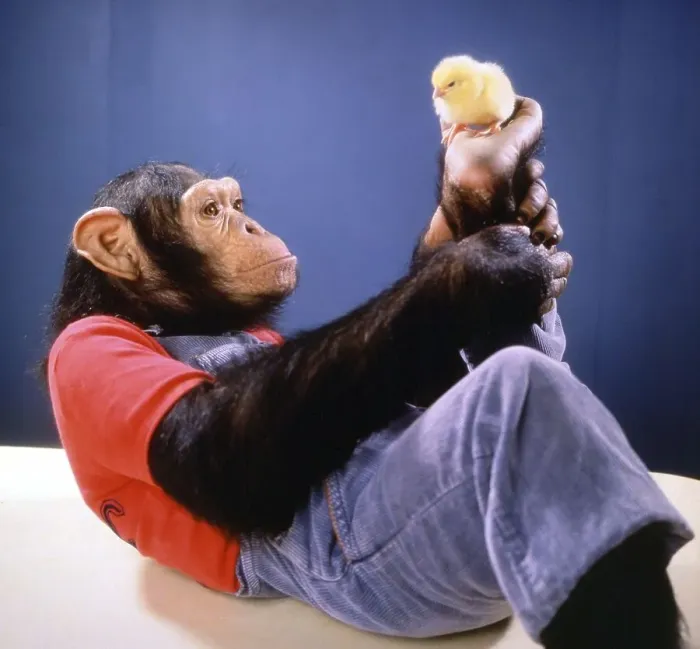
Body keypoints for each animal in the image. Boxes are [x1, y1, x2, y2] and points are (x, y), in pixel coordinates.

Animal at [43, 98, 692, 648]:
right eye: (209, 212)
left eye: (236, 208)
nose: (251, 227)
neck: (164, 315)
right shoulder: (88, 350)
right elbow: (211, 447)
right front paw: (478, 264)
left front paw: (486, 213)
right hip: (387, 567)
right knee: (523, 390)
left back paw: (484, 175)